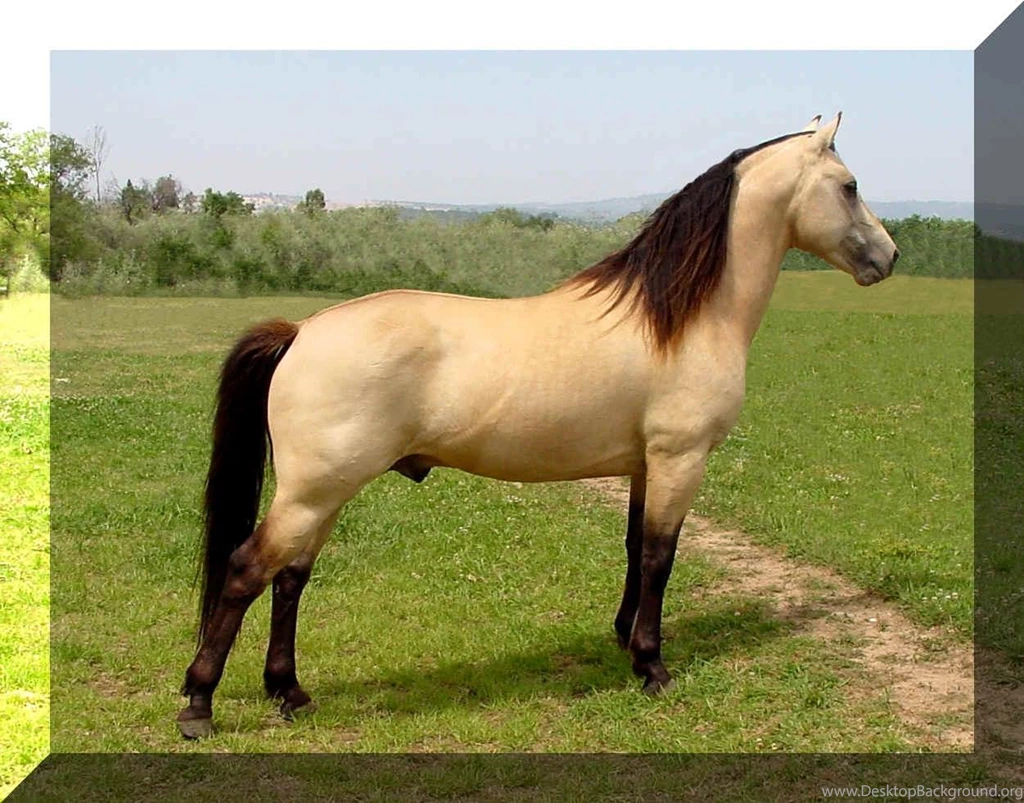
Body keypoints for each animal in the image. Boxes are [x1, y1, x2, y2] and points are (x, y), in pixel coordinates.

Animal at [177, 113, 899, 739]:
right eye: (850, 184)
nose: (888, 257)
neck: (683, 318)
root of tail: (301, 331)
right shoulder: (680, 460)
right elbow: (661, 557)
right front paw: (652, 665)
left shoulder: (643, 465)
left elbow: (634, 548)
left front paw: (623, 638)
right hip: (315, 490)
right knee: (247, 570)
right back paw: (198, 704)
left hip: (321, 493)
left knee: (291, 577)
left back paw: (289, 692)